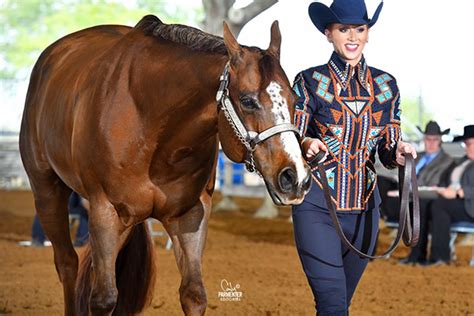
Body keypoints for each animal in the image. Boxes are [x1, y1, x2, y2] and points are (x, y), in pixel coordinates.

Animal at [18, 15, 312, 316]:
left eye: (295, 100)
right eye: (248, 100)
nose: (295, 177)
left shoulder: (190, 215)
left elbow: (194, 294)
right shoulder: (104, 211)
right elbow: (103, 299)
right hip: (47, 190)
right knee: (67, 263)